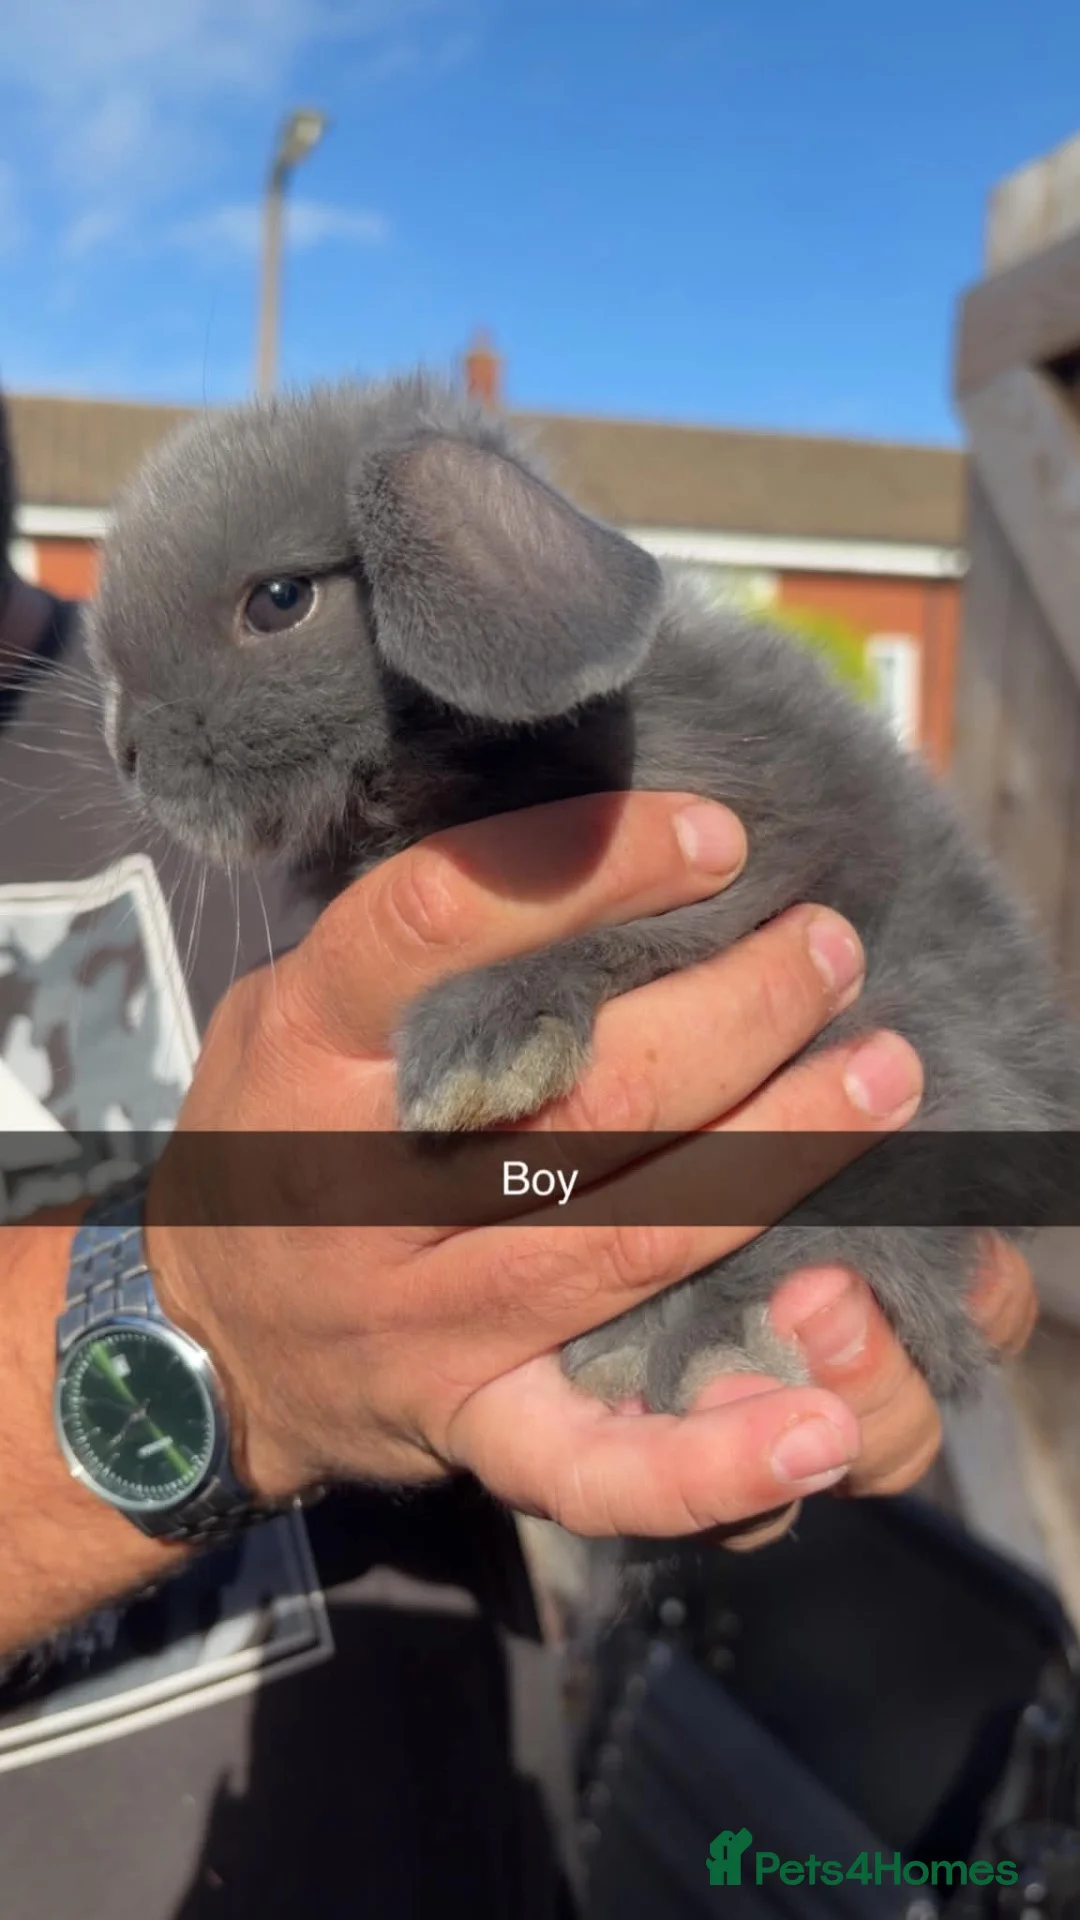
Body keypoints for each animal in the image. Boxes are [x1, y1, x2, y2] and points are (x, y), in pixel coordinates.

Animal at [83, 370, 1080, 1414]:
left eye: (279, 601)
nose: (127, 753)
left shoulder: (756, 856)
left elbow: (637, 938)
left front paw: (481, 1058)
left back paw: (710, 1342)